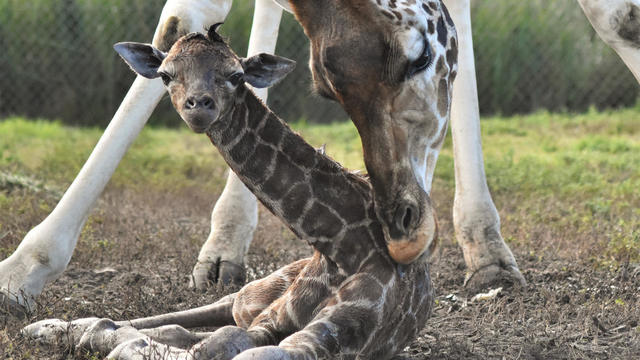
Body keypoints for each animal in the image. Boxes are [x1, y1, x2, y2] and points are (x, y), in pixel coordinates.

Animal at [1, 0, 640, 310]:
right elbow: (181, 18)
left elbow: (615, 17)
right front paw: (23, 271)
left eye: (413, 62)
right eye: (166, 75)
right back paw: (224, 248)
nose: (402, 226)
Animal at [23, 23, 436, 358]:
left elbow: (209, 345)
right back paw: (42, 325)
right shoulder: (271, 319)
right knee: (197, 311)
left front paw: (104, 339)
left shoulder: (326, 334)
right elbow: (187, 336)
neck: (342, 244)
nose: (199, 105)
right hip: (254, 293)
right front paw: (78, 332)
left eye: (236, 75)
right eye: (166, 74)